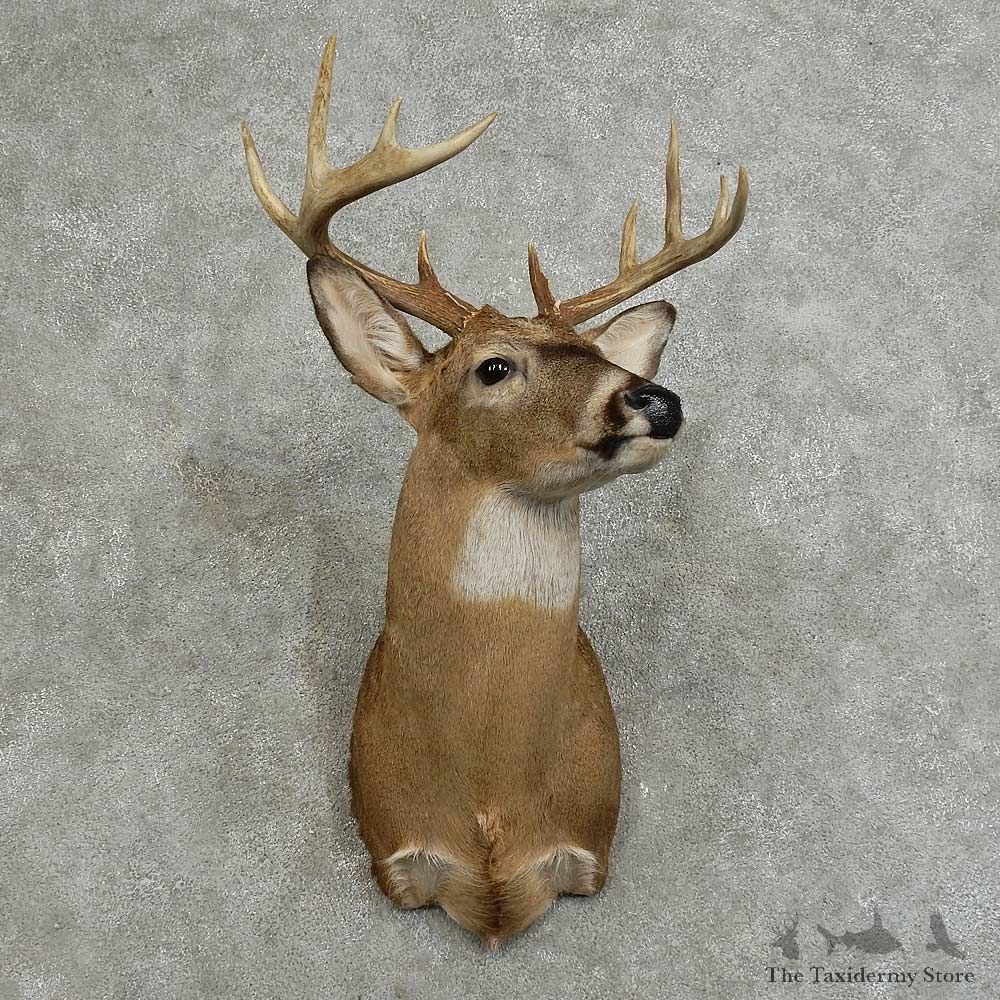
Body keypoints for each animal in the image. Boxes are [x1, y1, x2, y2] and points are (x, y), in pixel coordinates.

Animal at [241, 35, 748, 948]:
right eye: (494, 366)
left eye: (599, 352)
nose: (657, 400)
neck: (487, 794)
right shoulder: (396, 856)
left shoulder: (587, 849)